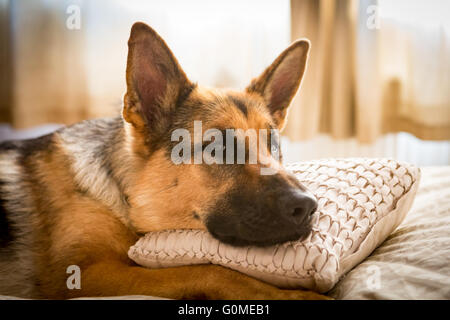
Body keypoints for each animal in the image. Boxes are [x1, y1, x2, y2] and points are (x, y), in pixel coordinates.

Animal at [0, 23, 326, 300]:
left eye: (273, 144)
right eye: (219, 147)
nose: (308, 207)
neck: (124, 197)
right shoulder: (80, 275)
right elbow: (210, 270)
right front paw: (291, 294)